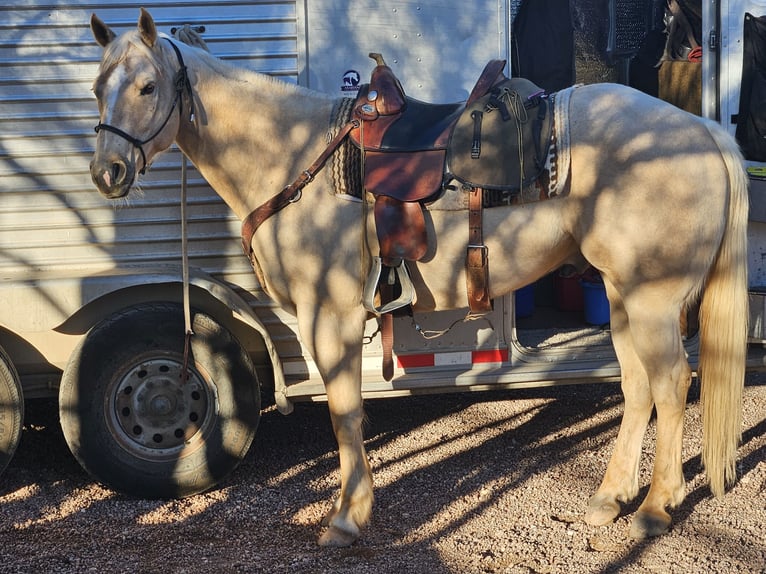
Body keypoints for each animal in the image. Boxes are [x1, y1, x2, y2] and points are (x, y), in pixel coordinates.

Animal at [88, 9, 748, 547]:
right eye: (98, 87)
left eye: (148, 86)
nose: (107, 172)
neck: (294, 156)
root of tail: (706, 133)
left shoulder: (330, 313)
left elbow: (344, 411)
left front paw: (347, 519)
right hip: (621, 295)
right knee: (638, 387)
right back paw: (611, 498)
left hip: (653, 300)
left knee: (672, 383)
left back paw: (655, 509)